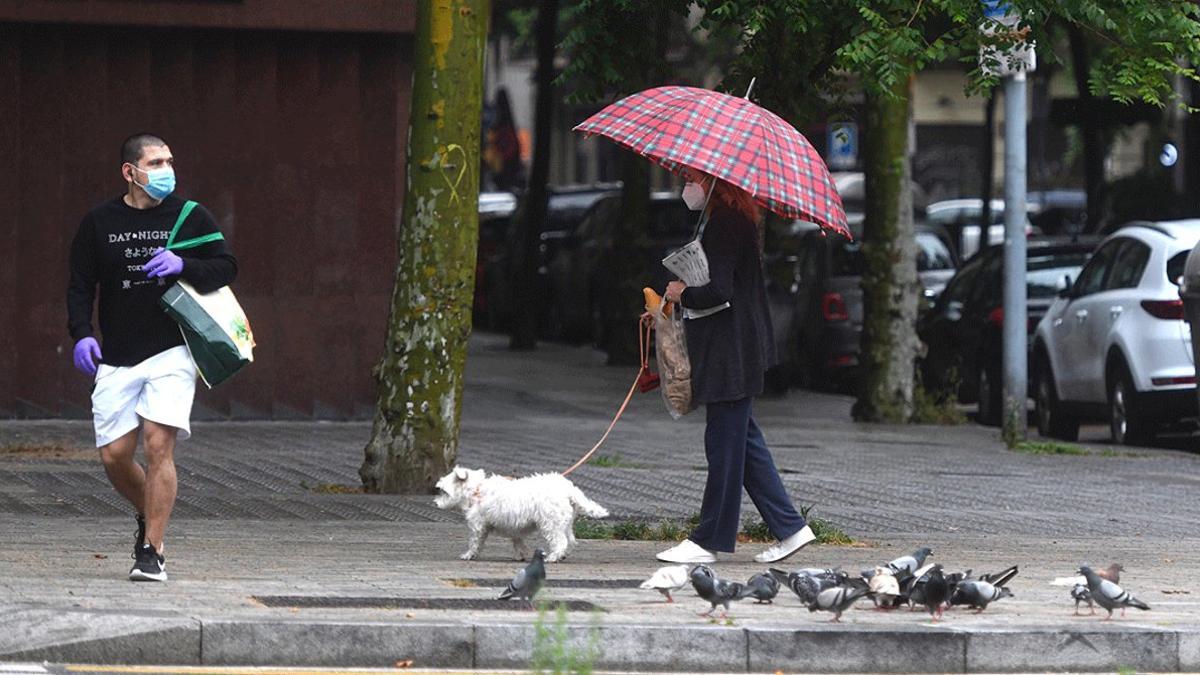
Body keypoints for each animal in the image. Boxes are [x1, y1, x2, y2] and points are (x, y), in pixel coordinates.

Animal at [434, 466, 609, 559]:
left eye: (443, 491)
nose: (435, 503)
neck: (476, 490)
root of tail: (567, 489)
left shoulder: (478, 526)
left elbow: (475, 543)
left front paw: (469, 555)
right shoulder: (514, 528)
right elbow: (518, 541)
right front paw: (522, 554)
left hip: (550, 524)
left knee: (560, 542)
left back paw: (553, 557)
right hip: (563, 523)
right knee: (570, 541)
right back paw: (562, 555)